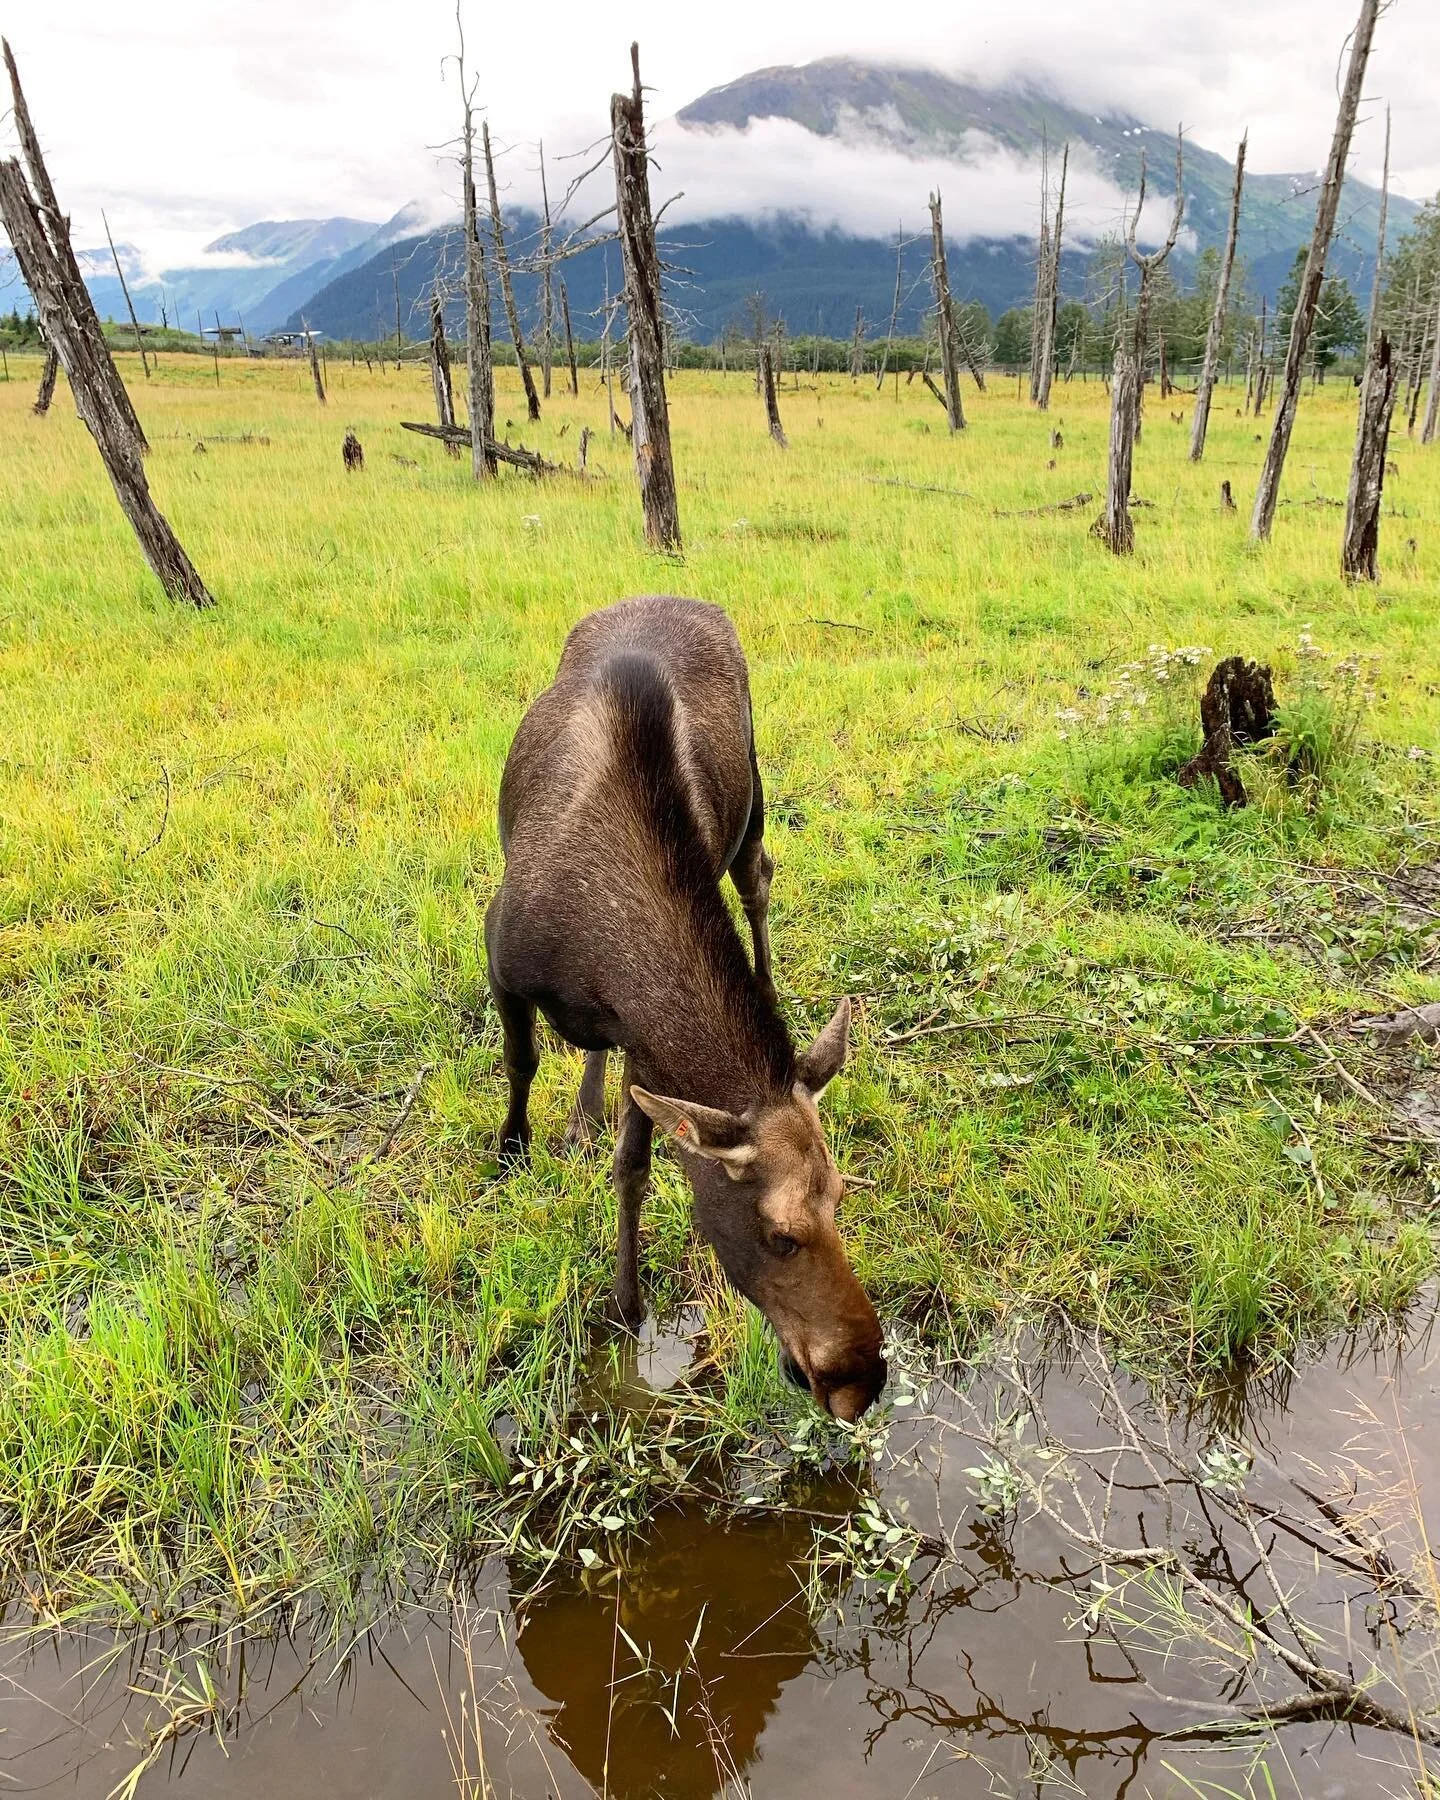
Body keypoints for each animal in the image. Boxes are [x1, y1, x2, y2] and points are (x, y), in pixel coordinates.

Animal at [485, 597, 886, 1422]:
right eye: (779, 1234)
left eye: (842, 1197)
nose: (861, 1380)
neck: (600, 949)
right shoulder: (500, 953)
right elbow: (522, 1059)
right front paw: (512, 1148)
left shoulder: (645, 1046)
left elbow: (632, 1169)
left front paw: (628, 1303)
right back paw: (578, 1112)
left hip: (755, 792)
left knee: (759, 878)